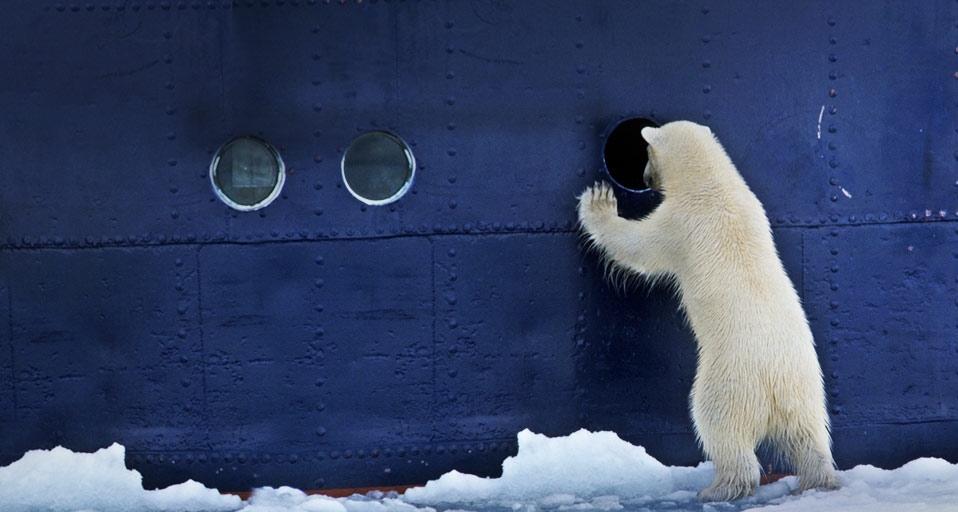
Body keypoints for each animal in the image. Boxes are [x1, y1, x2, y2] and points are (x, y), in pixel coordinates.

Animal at [577, 120, 840, 502]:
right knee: (809, 435)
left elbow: (638, 247)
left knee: (717, 424)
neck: (714, 184)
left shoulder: (679, 222)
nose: (645, 178)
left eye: (645, 154)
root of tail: (775, 382)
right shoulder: (754, 206)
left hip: (729, 381)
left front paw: (598, 202)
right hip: (806, 385)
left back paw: (718, 487)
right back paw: (819, 479)